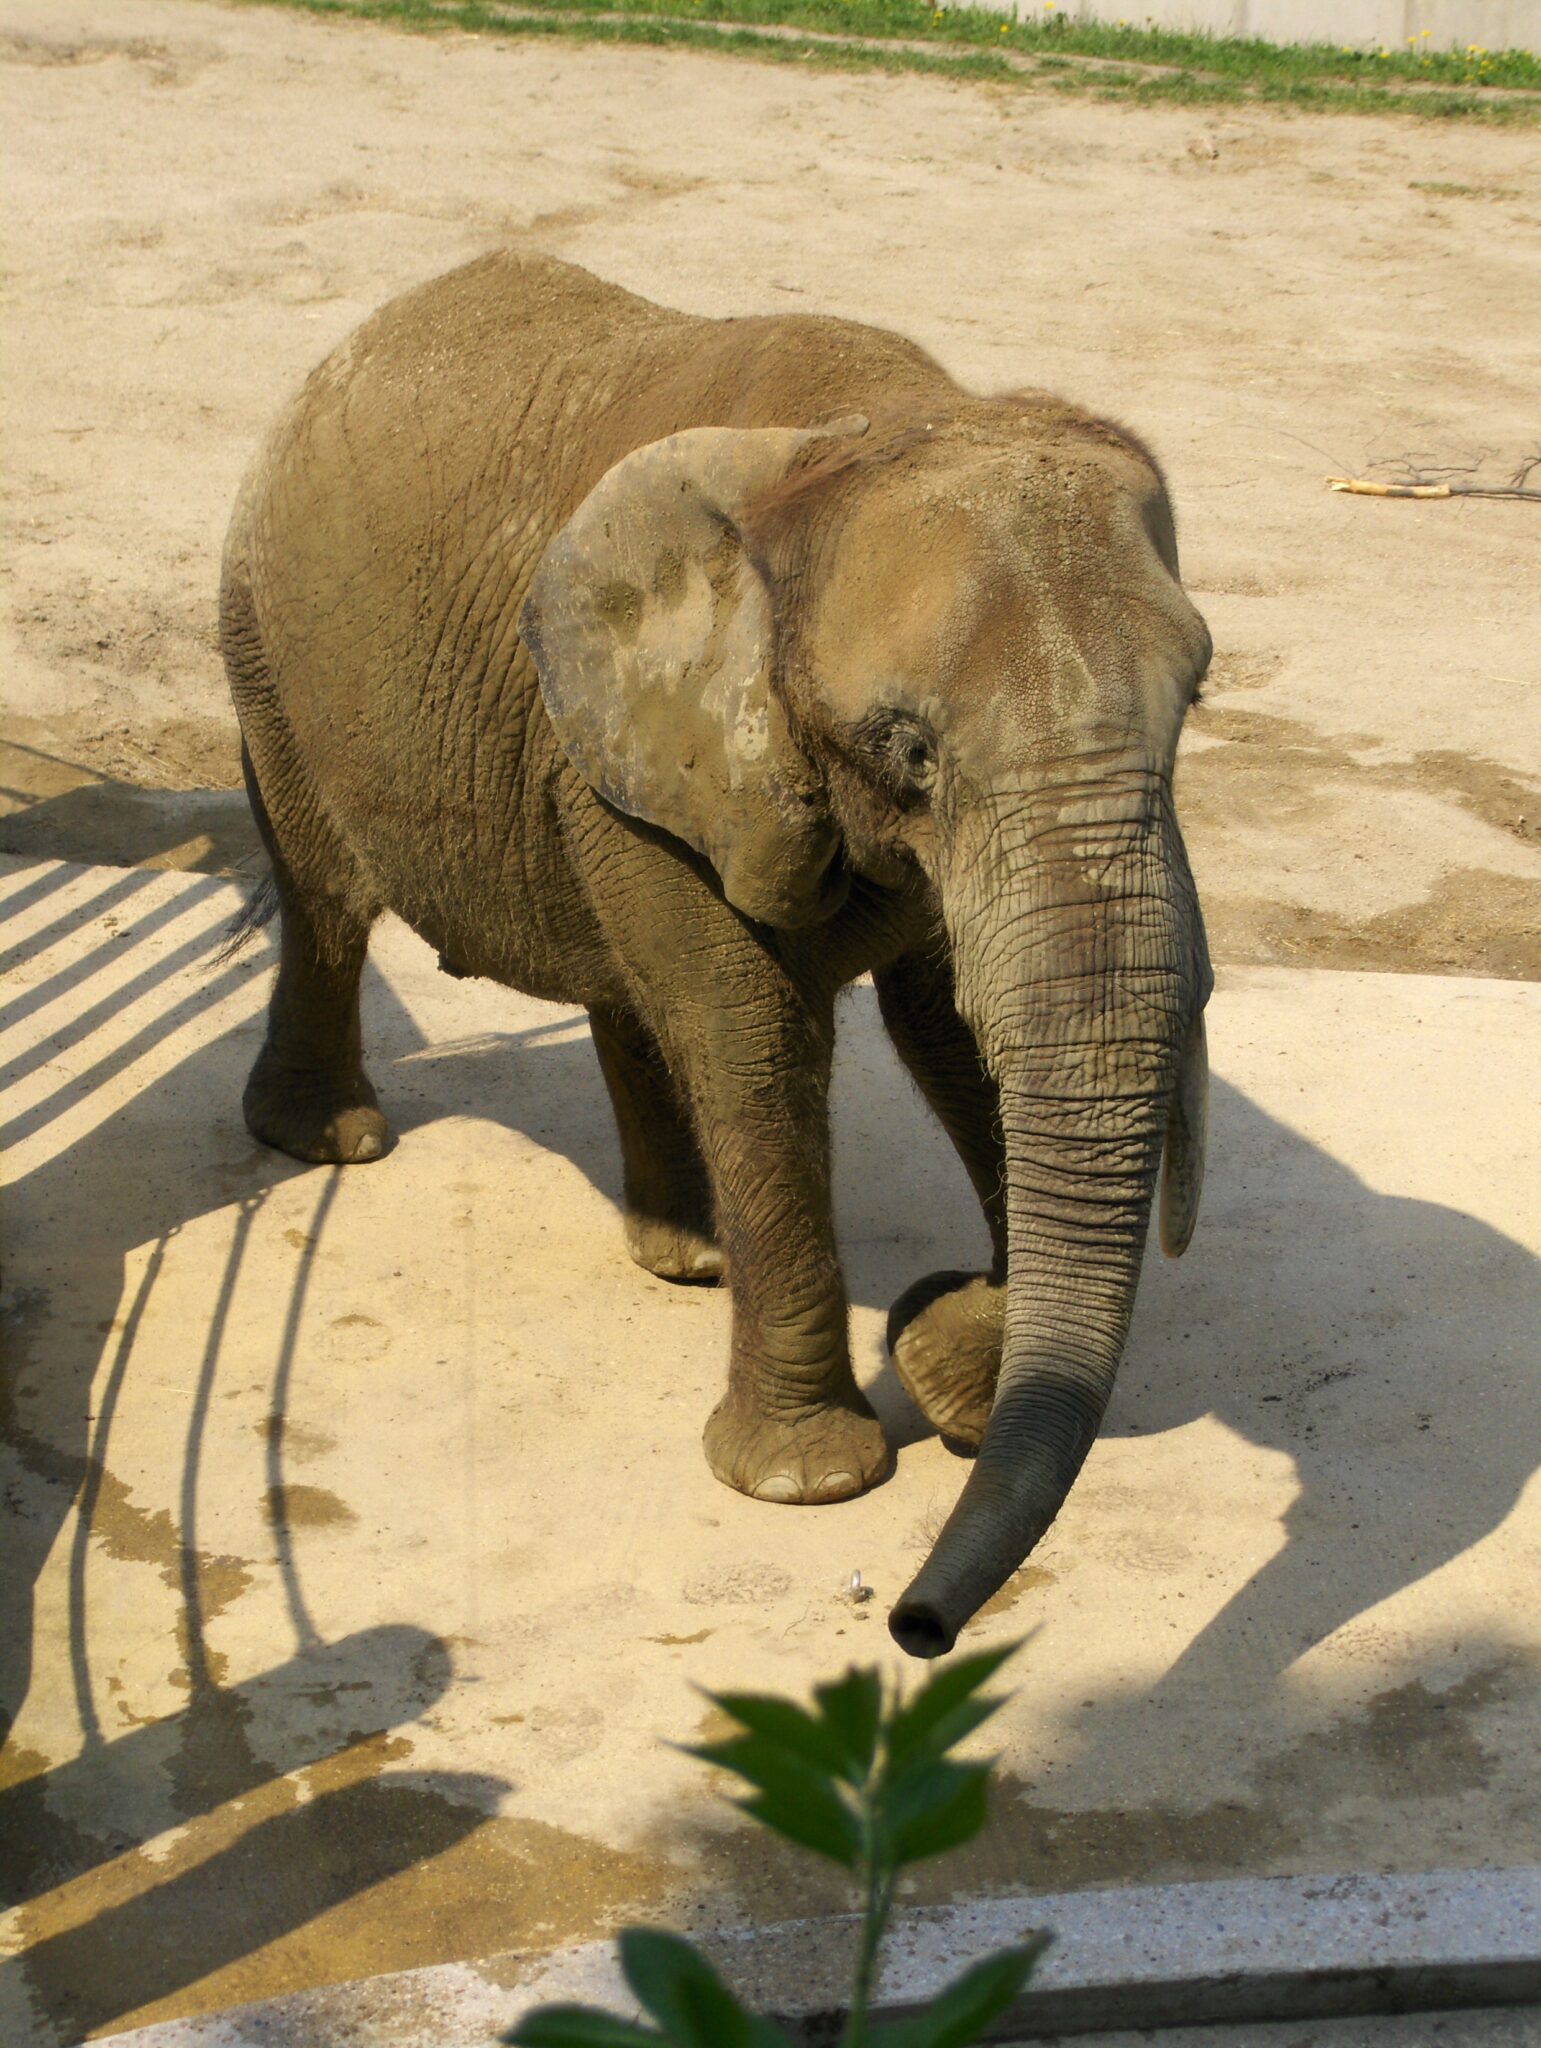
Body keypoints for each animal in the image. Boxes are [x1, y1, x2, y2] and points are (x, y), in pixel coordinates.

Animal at [220, 252, 1212, 1657]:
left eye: (1195, 700)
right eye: (905, 744)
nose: (914, 1627)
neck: (868, 430)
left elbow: (951, 1033)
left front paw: (952, 1364)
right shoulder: (663, 732)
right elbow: (751, 1036)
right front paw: (811, 1480)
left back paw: (686, 1257)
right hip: (267, 634)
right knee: (323, 895)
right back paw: (332, 1141)